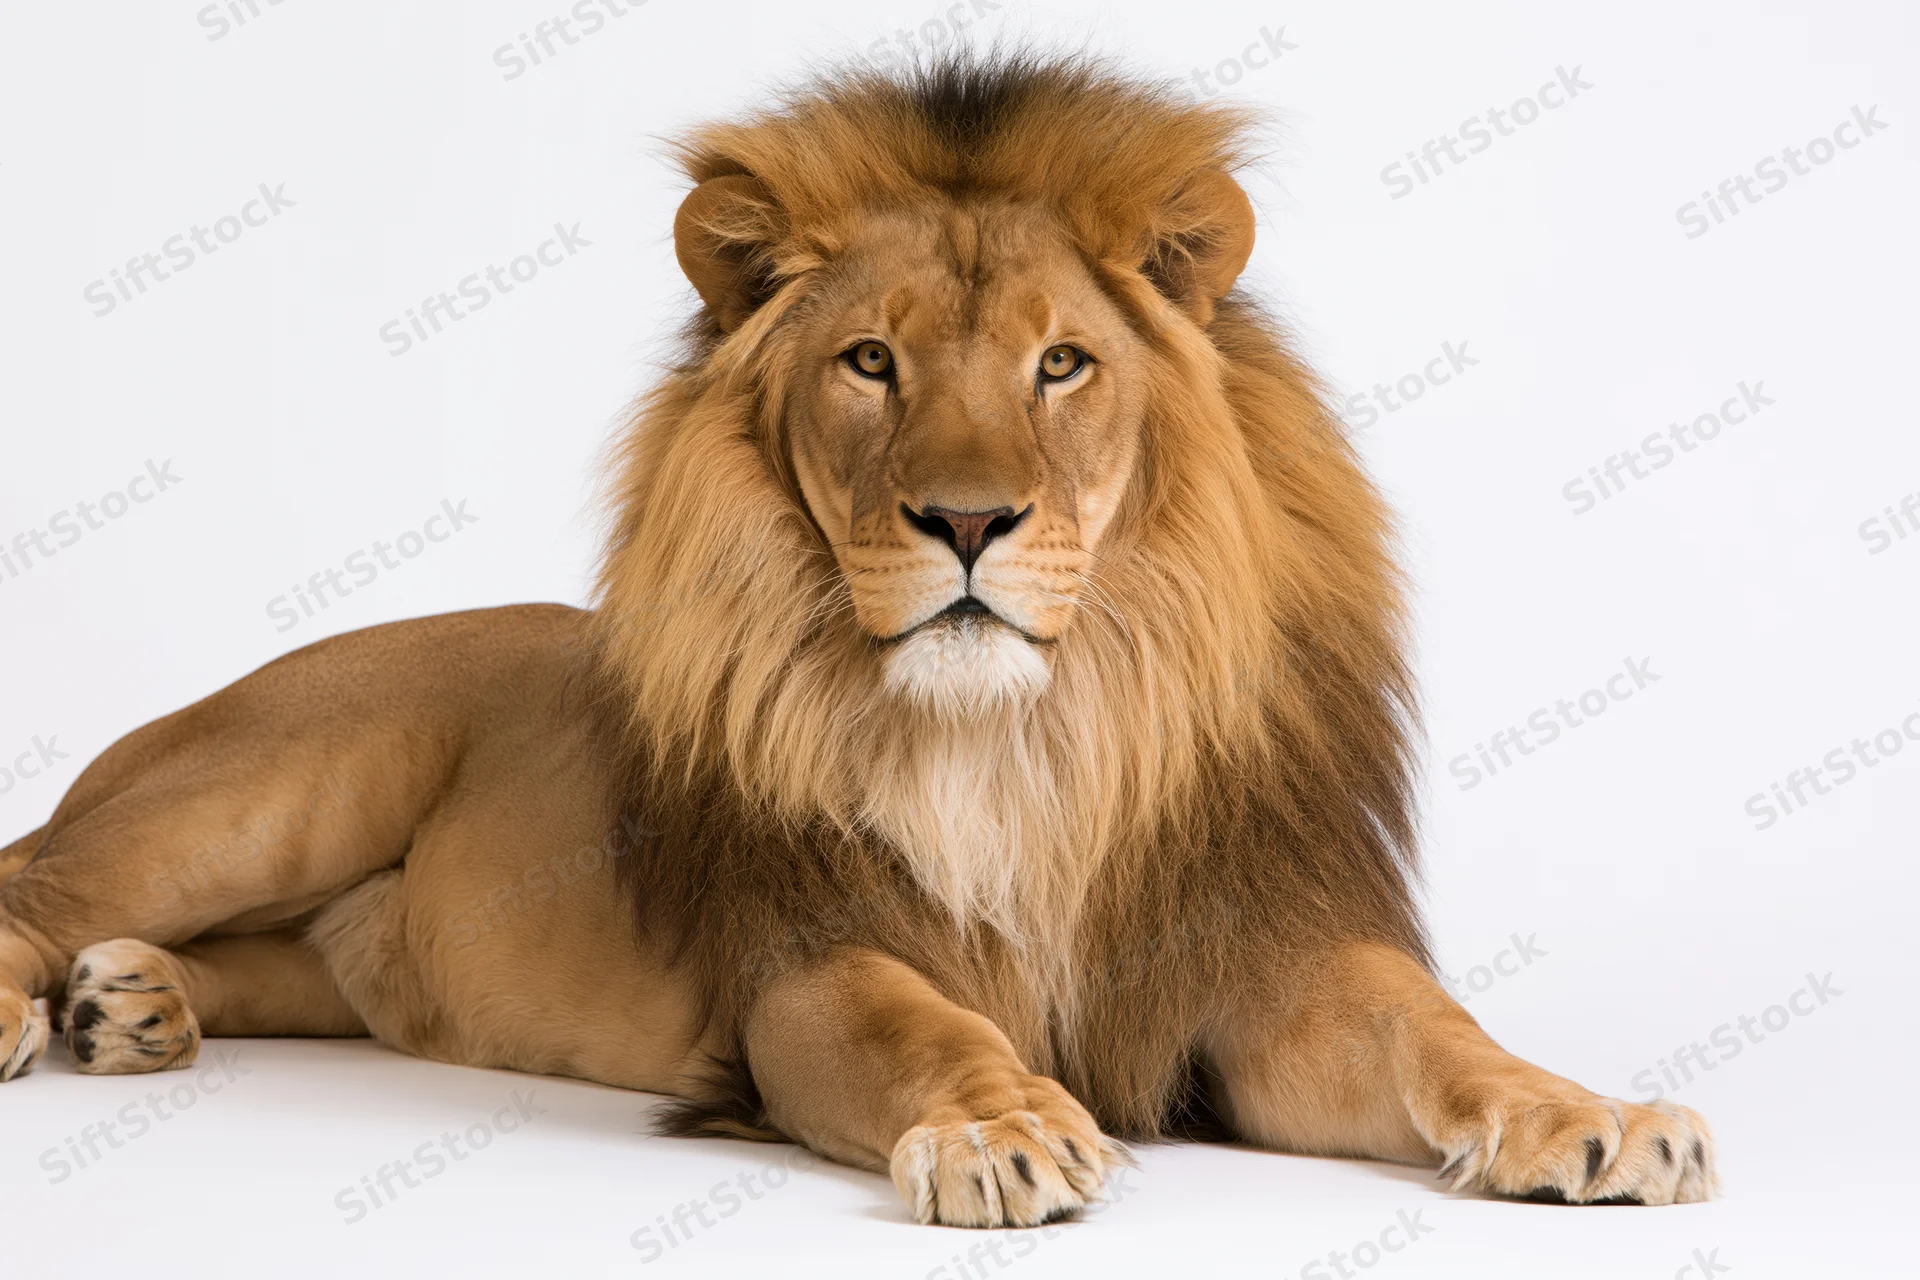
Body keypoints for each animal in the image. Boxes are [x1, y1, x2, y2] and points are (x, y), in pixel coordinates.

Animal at [0, 54, 1715, 1225]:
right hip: (281, 780)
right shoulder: (806, 962)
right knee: (41, 880)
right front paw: (1001, 1128)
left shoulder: (1242, 960)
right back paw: (42, 1010)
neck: (1033, 731)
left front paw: (1592, 1118)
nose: (965, 520)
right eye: (871, 363)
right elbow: (920, 1025)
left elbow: (1435, 1029)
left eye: (1062, 364)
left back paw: (132, 1003)